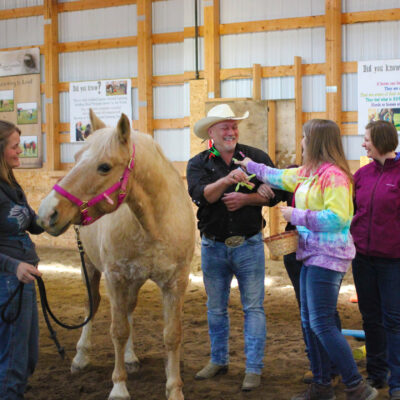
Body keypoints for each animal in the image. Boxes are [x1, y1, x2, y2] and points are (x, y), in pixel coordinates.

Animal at [36, 110, 196, 400]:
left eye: (104, 167)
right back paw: (81, 357)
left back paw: (131, 357)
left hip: (133, 280)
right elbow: (118, 331)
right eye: (76, 157)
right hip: (90, 267)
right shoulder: (115, 277)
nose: (46, 212)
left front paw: (174, 388)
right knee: (92, 305)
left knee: (129, 309)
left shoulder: (175, 282)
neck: (154, 223)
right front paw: (119, 387)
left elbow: (171, 335)